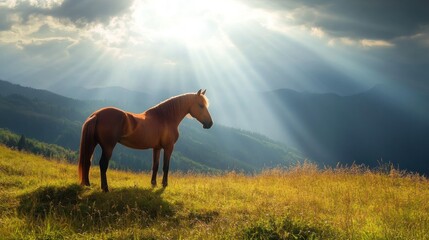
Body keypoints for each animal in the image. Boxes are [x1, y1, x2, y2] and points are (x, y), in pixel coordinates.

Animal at [78, 88, 212, 191]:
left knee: (87, 161)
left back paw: (88, 184)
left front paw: (154, 183)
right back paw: (105, 188)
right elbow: (166, 166)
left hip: (93, 143)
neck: (165, 118)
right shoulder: (168, 147)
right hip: (108, 147)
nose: (210, 124)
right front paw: (164, 184)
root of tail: (96, 115)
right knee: (103, 164)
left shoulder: (157, 148)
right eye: (201, 105)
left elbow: (155, 166)